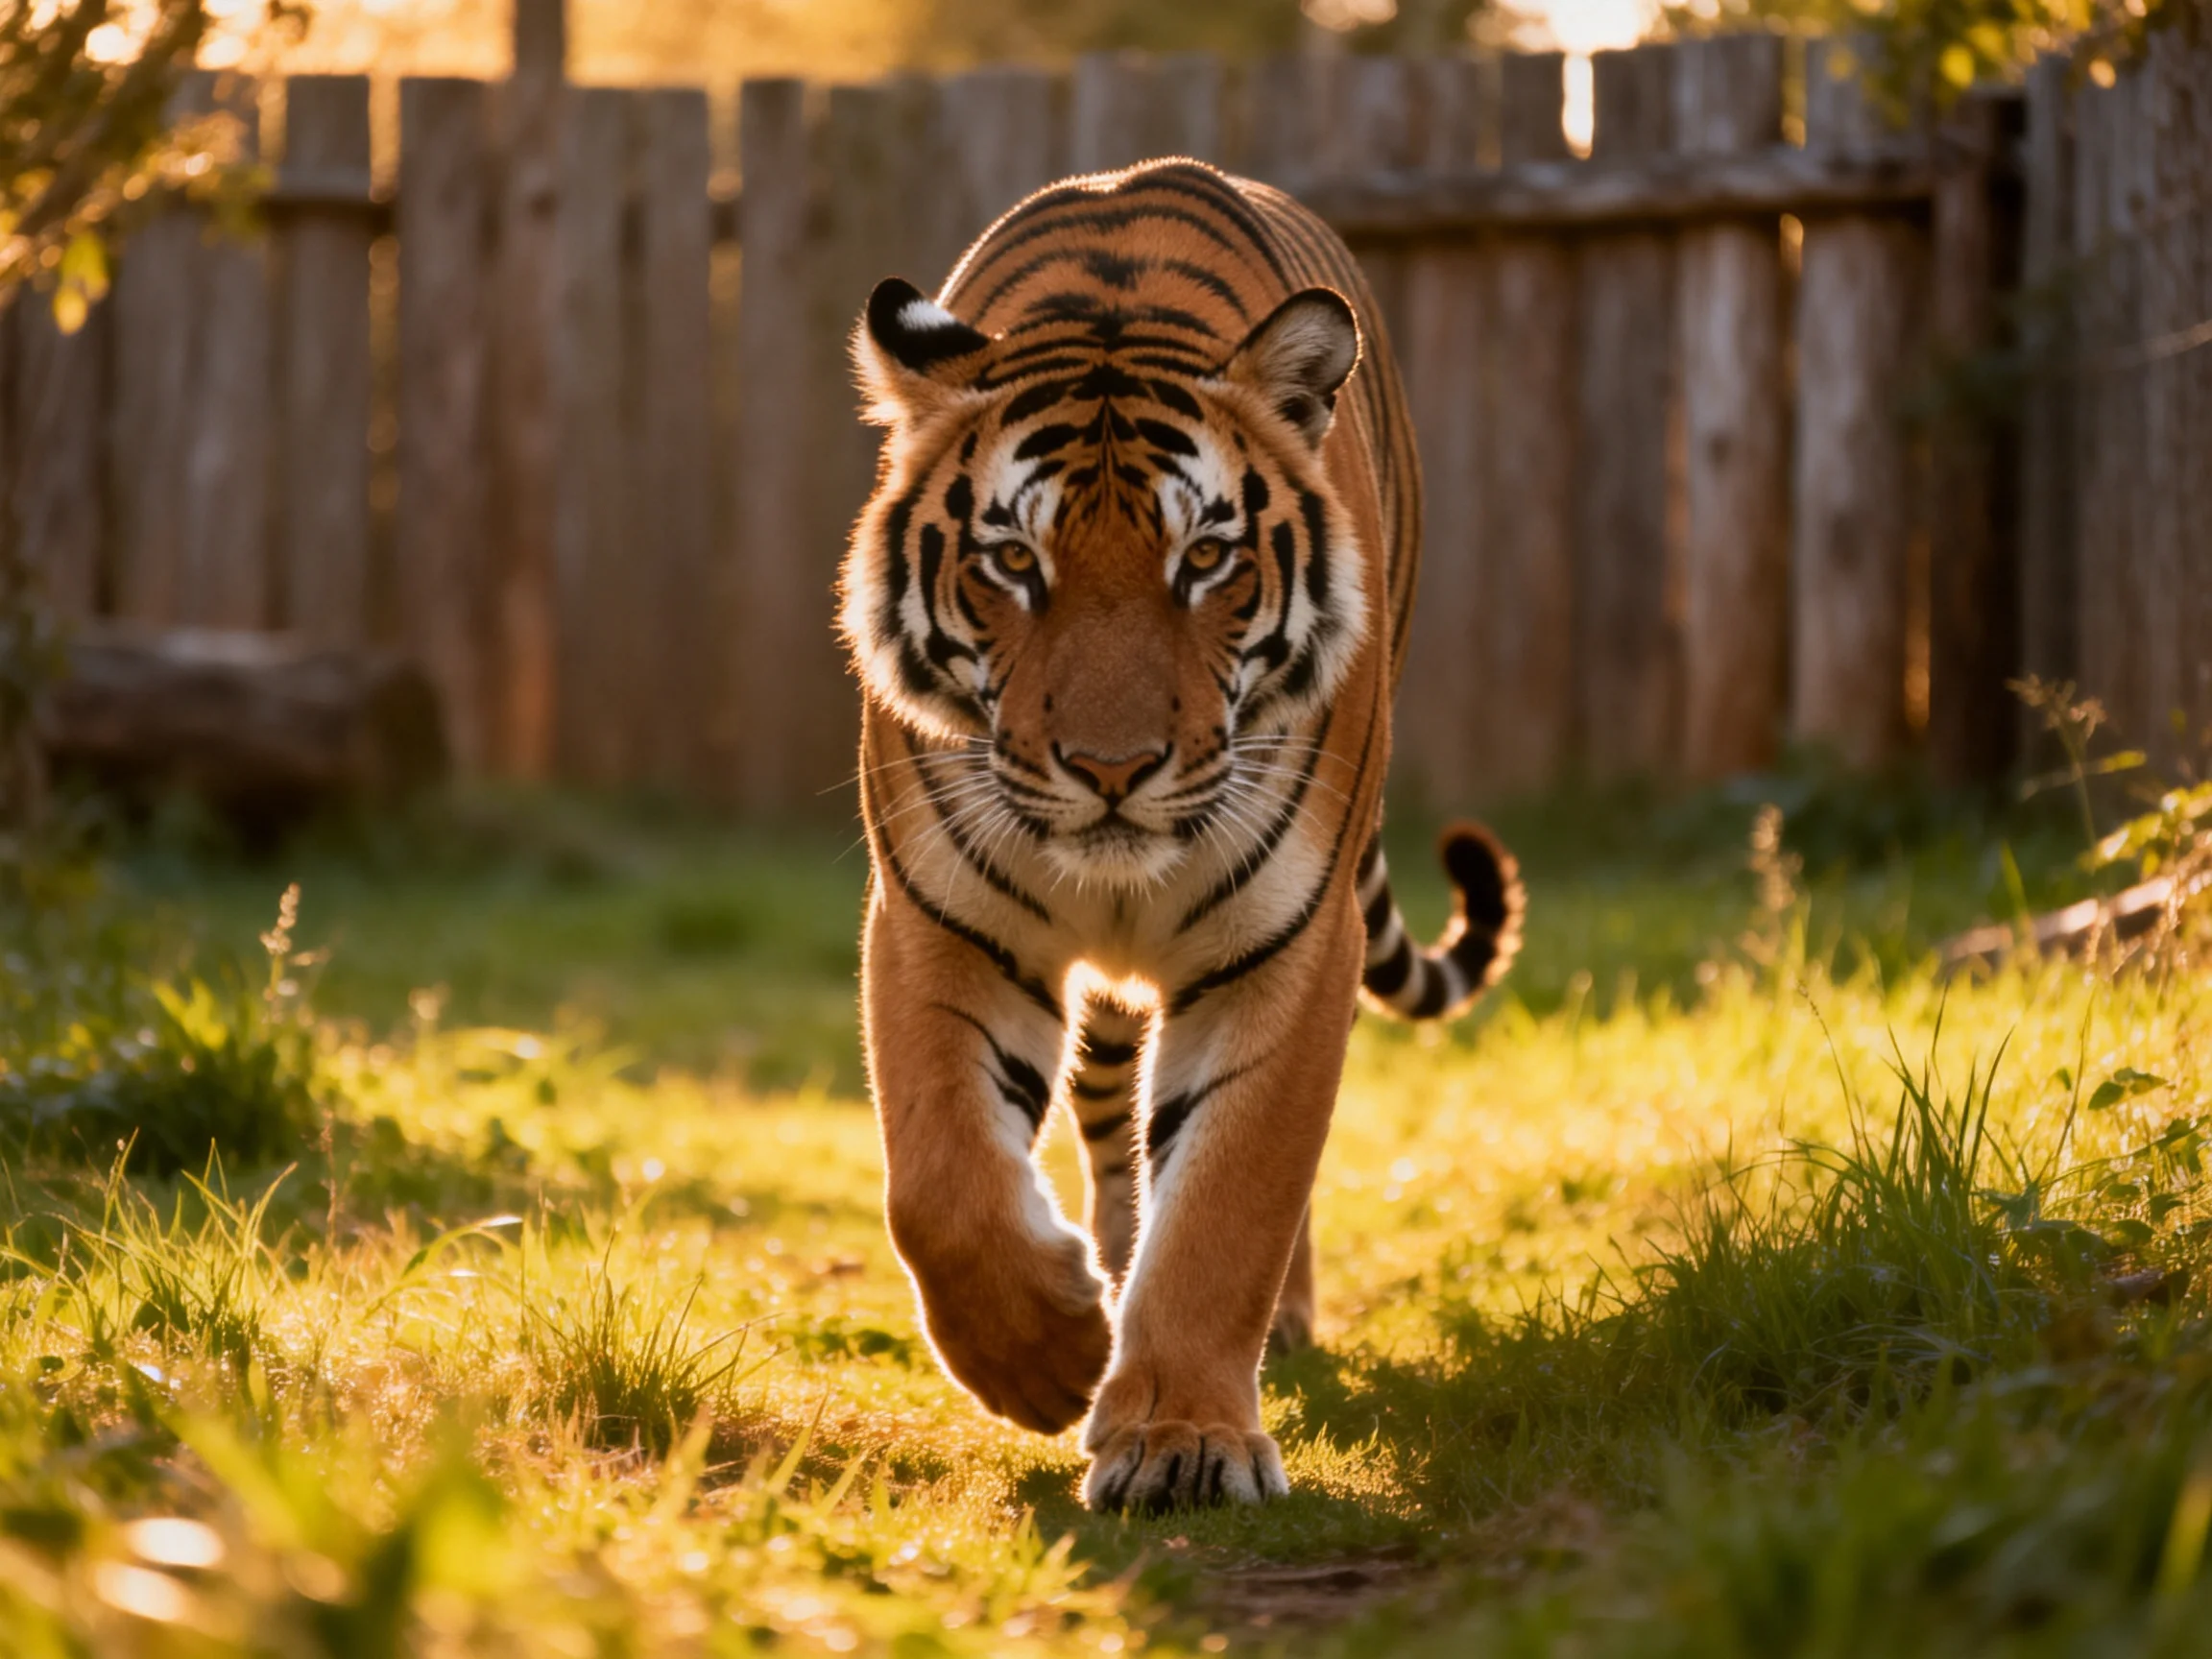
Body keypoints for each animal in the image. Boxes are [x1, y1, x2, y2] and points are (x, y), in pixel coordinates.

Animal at [840, 157, 1524, 1513]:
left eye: (1204, 558)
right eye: (1014, 561)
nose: (1112, 771)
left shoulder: (1290, 940)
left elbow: (1232, 1197)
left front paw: (1181, 1442)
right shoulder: (940, 917)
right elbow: (938, 1179)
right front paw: (1049, 1356)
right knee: (1109, 1120)